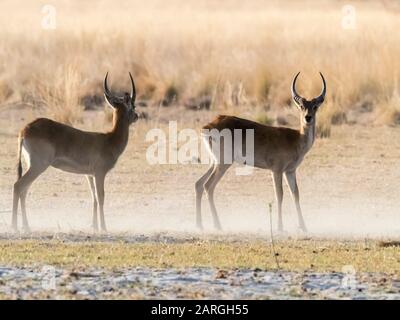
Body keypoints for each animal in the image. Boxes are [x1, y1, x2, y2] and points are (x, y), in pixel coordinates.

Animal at [11, 72, 139, 232]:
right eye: (132, 106)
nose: (137, 116)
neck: (109, 140)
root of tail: (25, 130)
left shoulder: (89, 175)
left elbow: (94, 198)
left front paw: (94, 226)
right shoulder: (99, 173)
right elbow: (101, 197)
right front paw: (103, 227)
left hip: (31, 165)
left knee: (24, 190)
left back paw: (26, 226)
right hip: (38, 166)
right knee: (18, 186)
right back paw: (14, 226)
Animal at [195, 72, 326, 232]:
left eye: (315, 106)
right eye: (301, 106)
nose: (308, 118)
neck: (296, 139)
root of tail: (208, 125)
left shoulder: (290, 171)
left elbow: (295, 194)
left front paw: (303, 226)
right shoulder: (276, 170)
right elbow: (279, 195)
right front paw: (280, 227)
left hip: (215, 162)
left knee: (198, 184)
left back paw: (200, 225)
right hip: (223, 164)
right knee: (208, 186)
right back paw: (218, 225)